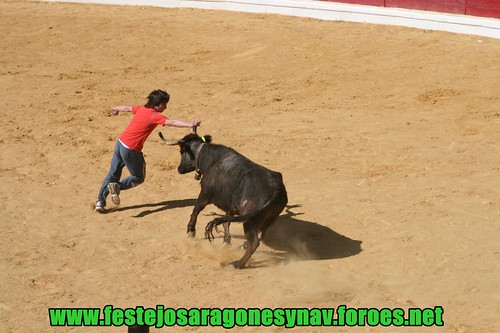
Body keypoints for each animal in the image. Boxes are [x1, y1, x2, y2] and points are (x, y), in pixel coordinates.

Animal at [158, 132, 288, 268]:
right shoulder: (231, 206)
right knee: (261, 234)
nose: (179, 169)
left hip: (249, 221)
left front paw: (191, 231)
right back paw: (243, 247)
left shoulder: (205, 195)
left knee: (255, 242)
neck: (209, 158)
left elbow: (196, 210)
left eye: (181, 151)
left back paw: (237, 263)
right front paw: (226, 241)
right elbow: (226, 222)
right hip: (270, 218)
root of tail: (277, 187)